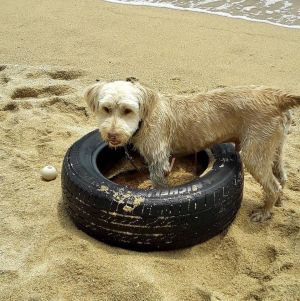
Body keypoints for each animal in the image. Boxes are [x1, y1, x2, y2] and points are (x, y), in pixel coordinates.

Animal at [85, 78, 300, 221]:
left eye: (127, 110)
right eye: (106, 109)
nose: (112, 135)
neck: (145, 117)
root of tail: (277, 96)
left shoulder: (158, 161)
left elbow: (159, 185)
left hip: (254, 153)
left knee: (273, 185)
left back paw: (264, 212)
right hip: (275, 145)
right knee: (281, 177)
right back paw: (277, 203)